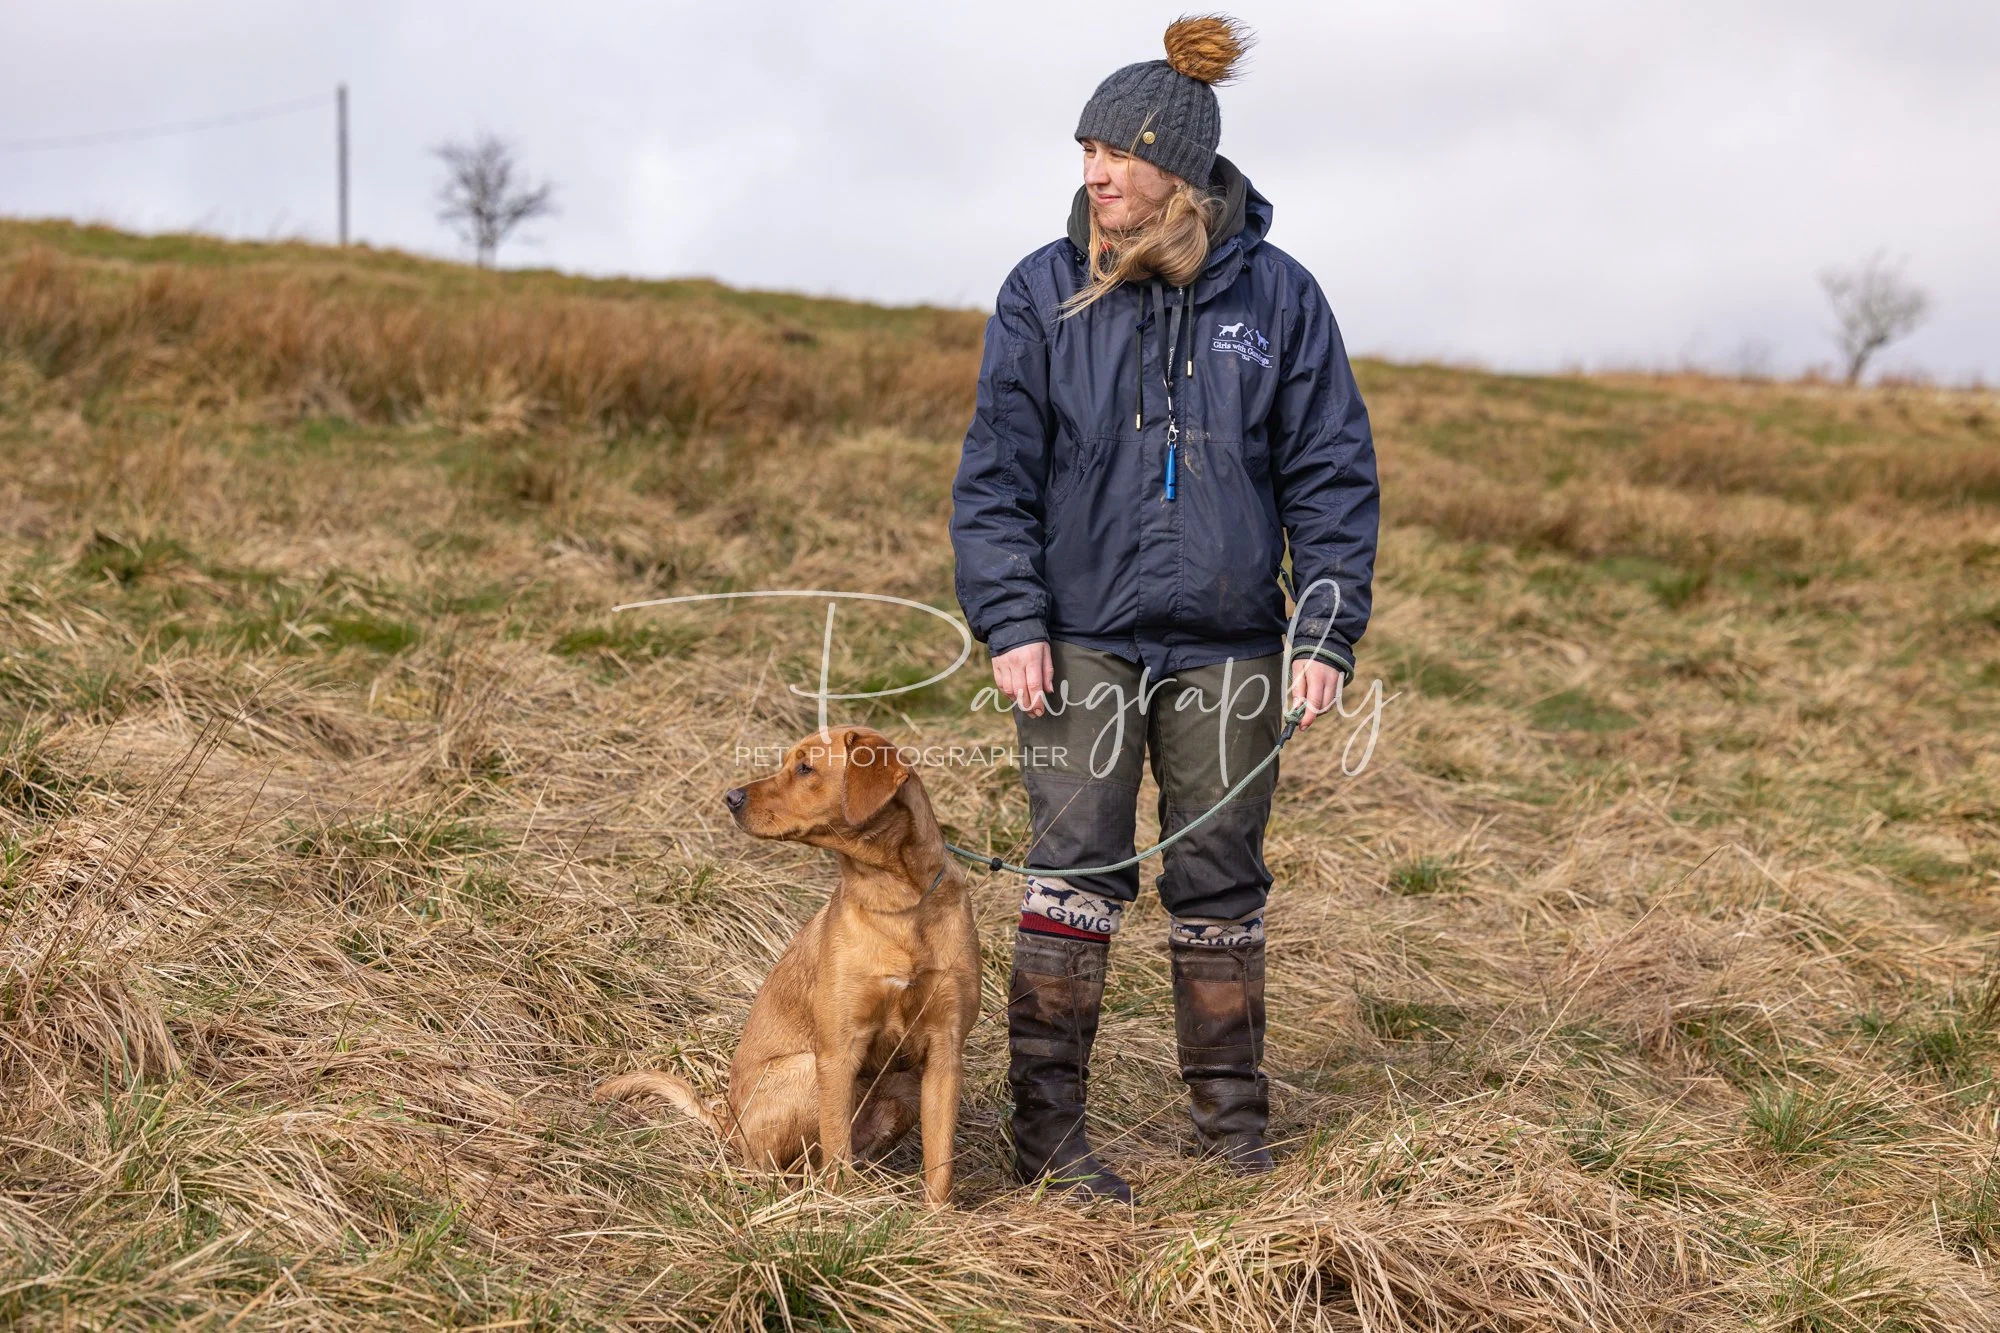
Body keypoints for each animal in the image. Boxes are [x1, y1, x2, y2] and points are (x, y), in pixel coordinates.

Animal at [595, 725, 980, 1205]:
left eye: (805, 768)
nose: (730, 797)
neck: (897, 903)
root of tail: (730, 1124)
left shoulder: (946, 1051)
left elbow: (940, 1162)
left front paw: (936, 1217)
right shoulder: (837, 1052)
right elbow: (836, 1151)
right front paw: (840, 1207)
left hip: (904, 1085)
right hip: (804, 1072)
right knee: (791, 1165)